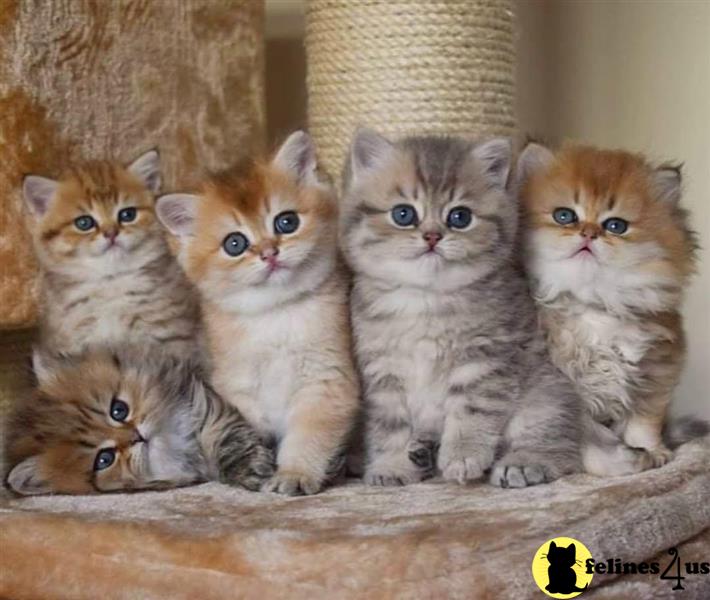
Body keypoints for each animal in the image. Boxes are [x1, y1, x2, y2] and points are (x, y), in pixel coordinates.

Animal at [4, 344, 274, 494]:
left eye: (118, 410)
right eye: (104, 459)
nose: (137, 437)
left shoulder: (202, 404)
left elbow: (229, 440)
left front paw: (252, 471)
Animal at [153, 132, 358, 496]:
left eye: (286, 221)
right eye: (234, 243)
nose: (269, 252)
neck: (273, 314)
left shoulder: (326, 383)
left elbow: (308, 438)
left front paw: (294, 474)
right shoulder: (237, 390)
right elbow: (238, 430)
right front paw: (249, 467)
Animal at [340, 130, 584, 488]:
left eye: (460, 217)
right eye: (403, 214)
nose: (432, 236)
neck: (425, 300)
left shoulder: (485, 359)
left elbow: (471, 410)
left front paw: (462, 456)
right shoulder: (382, 373)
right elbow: (390, 426)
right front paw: (392, 465)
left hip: (544, 392)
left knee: (557, 443)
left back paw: (524, 462)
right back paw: (421, 452)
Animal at [516, 143, 700, 476]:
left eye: (615, 225)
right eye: (564, 216)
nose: (589, 233)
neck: (589, 302)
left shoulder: (656, 370)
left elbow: (643, 425)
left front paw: (654, 454)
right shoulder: (562, 388)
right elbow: (590, 442)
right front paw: (622, 465)